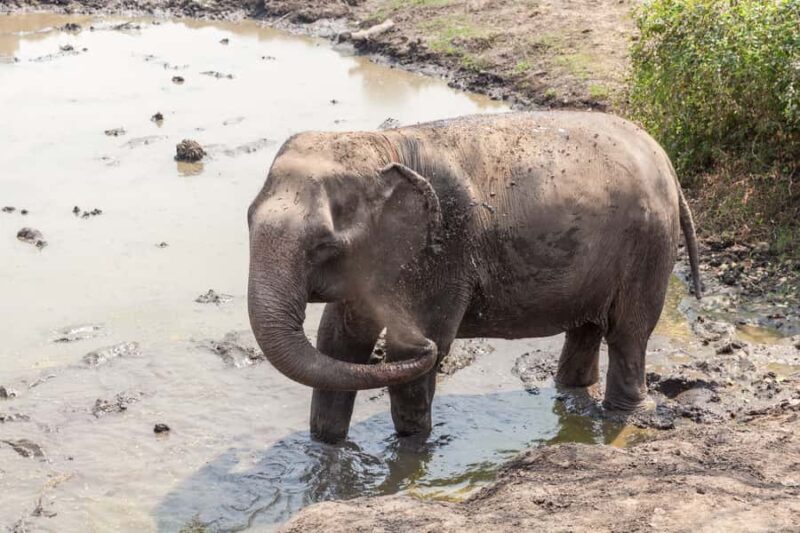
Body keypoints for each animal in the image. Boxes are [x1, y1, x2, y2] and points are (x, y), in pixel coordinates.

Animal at [247, 111, 701, 444]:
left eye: (322, 245)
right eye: (248, 219)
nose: (423, 343)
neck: (384, 144)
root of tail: (664, 158)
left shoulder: (444, 246)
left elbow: (400, 354)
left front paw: (412, 450)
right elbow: (338, 344)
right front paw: (325, 450)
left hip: (648, 243)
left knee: (629, 331)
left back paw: (627, 415)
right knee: (588, 327)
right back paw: (573, 391)